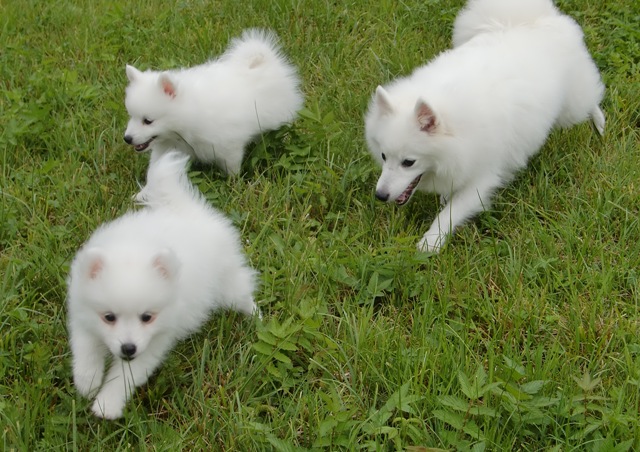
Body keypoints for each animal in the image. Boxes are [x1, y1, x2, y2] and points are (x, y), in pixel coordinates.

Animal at [67, 151, 259, 419]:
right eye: (109, 317)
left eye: (147, 317)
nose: (128, 348)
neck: (133, 249)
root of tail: (188, 212)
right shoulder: (82, 313)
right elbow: (85, 348)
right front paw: (88, 381)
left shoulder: (155, 340)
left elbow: (125, 376)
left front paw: (107, 405)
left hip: (228, 282)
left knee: (242, 293)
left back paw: (256, 316)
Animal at [124, 29, 303, 175]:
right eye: (131, 116)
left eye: (148, 121)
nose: (127, 138)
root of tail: (263, 62)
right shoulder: (167, 148)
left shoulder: (228, 144)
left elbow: (232, 166)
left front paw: (234, 185)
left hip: (280, 117)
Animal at [365, 0, 605, 253]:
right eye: (383, 156)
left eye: (408, 162)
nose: (380, 195)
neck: (458, 125)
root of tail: (532, 19)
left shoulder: (483, 178)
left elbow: (450, 213)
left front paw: (430, 243)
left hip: (572, 107)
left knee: (591, 99)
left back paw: (599, 123)